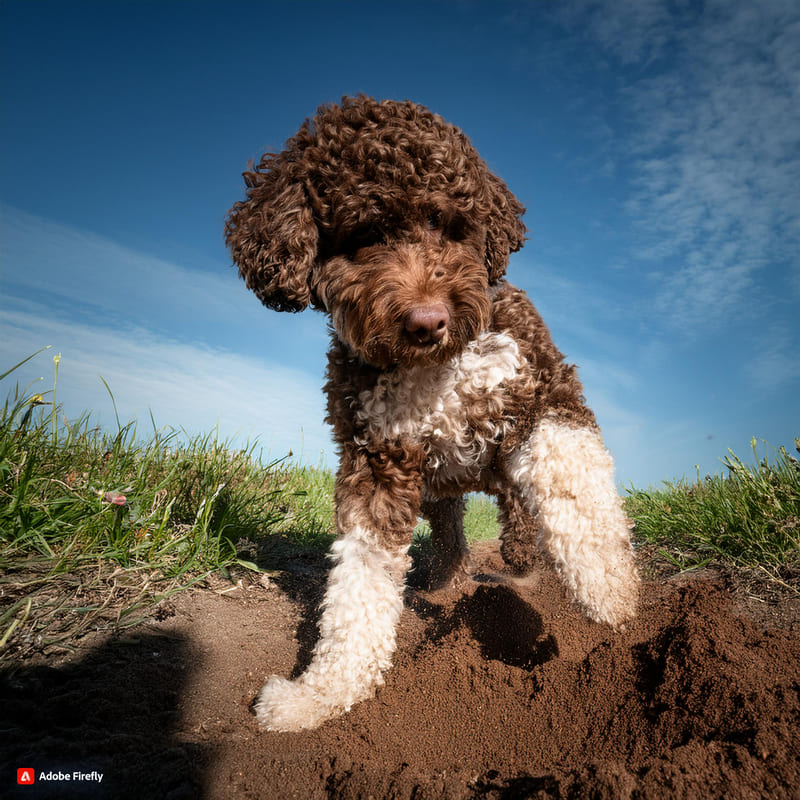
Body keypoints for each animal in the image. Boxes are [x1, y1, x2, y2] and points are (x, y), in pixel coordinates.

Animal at [225, 95, 636, 732]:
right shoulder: (376, 458)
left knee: (520, 510)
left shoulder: (545, 389)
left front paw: (609, 594)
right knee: (450, 530)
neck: (437, 369)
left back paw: (521, 559)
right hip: (440, 484)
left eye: (446, 223)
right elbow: (359, 583)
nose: (427, 321)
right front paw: (321, 693)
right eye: (364, 235)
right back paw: (448, 578)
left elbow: (575, 491)